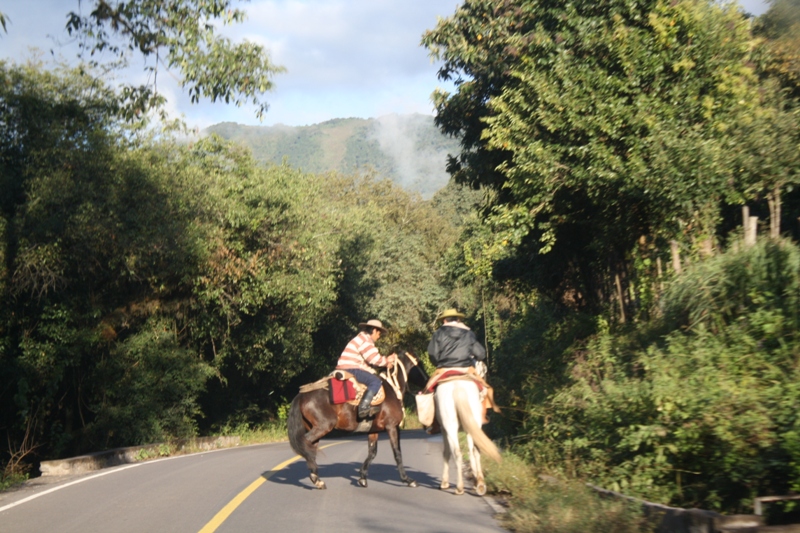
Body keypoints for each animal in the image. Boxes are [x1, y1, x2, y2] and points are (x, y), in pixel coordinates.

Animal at [286, 350, 424, 490]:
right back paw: (315, 478)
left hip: (315, 428)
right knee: (305, 445)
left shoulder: (373, 430)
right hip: (323, 426)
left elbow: (372, 452)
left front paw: (362, 477)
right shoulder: (392, 427)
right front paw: (408, 480)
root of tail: (301, 395)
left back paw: (317, 479)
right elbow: (397, 453)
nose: (427, 380)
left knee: (310, 449)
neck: (392, 388)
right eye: (419, 363)